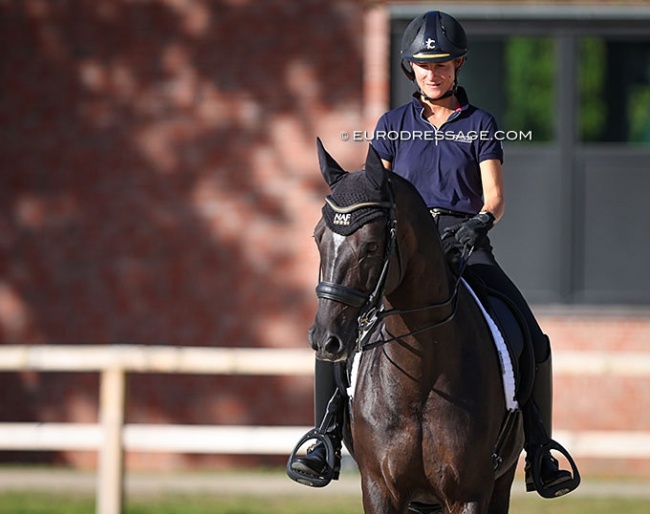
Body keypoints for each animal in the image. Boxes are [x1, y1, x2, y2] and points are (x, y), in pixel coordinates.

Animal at [306, 138, 524, 510]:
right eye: (318, 238)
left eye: (371, 246)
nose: (325, 339)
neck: (419, 377)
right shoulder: (379, 488)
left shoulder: (470, 494)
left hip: (501, 483)